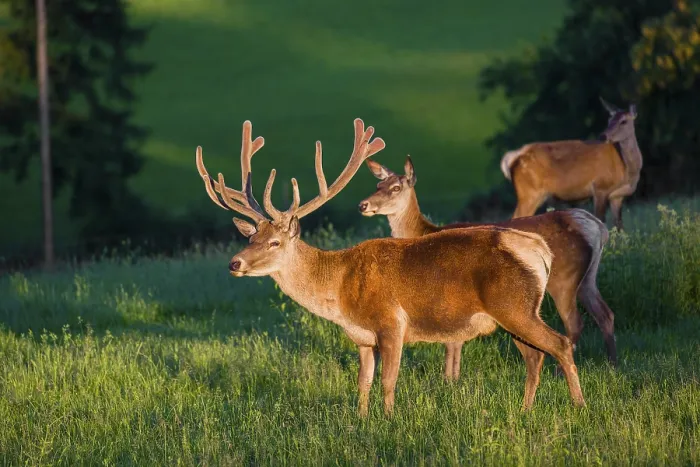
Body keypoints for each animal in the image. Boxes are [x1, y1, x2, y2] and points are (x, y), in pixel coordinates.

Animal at [195, 118, 586, 416]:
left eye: (274, 242)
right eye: (251, 237)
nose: (235, 262)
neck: (339, 287)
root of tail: (539, 249)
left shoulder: (391, 322)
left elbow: (388, 380)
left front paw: (389, 420)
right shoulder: (361, 337)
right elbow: (363, 382)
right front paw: (360, 421)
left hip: (514, 305)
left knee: (560, 344)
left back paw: (579, 407)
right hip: (513, 313)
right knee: (535, 357)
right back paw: (525, 411)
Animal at [358, 156, 617, 383]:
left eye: (395, 188)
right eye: (378, 184)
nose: (364, 204)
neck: (422, 233)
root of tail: (596, 226)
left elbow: (451, 340)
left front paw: (448, 381)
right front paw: (453, 379)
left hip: (564, 279)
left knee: (574, 323)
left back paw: (560, 373)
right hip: (587, 279)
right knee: (605, 313)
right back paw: (611, 365)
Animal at [500, 98, 643, 230]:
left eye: (623, 121)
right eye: (609, 121)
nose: (603, 136)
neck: (627, 168)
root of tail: (515, 156)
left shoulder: (617, 196)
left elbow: (619, 226)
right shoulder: (600, 186)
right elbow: (601, 221)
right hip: (529, 193)